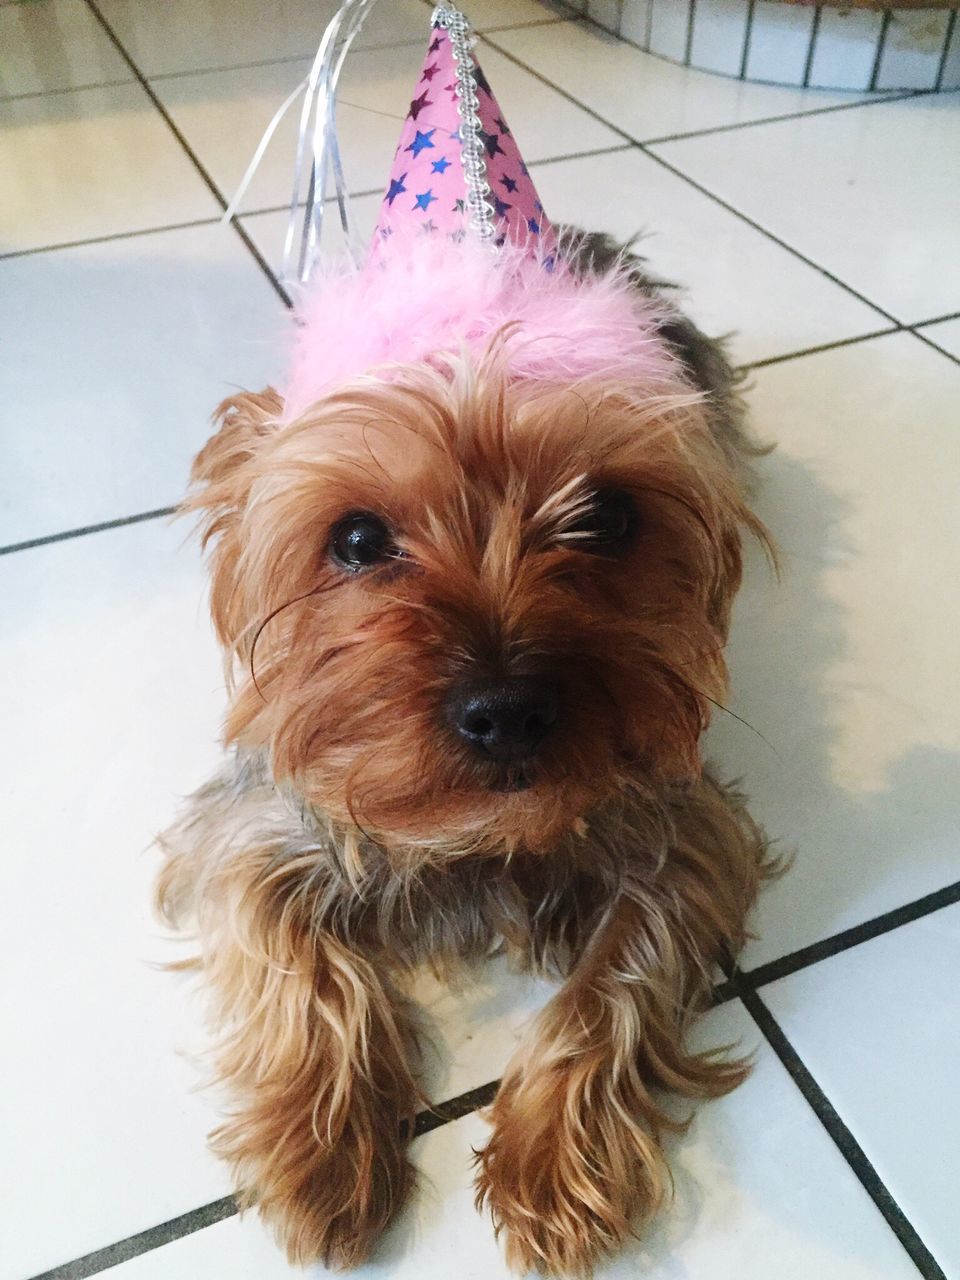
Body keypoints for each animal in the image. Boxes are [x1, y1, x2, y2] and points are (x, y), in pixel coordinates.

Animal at [158, 232, 773, 1280]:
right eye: (357, 538)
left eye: (608, 516)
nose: (507, 711)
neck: (478, 832)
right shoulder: (257, 824)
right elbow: (294, 957)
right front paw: (321, 1151)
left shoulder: (680, 828)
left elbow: (619, 977)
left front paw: (554, 1164)